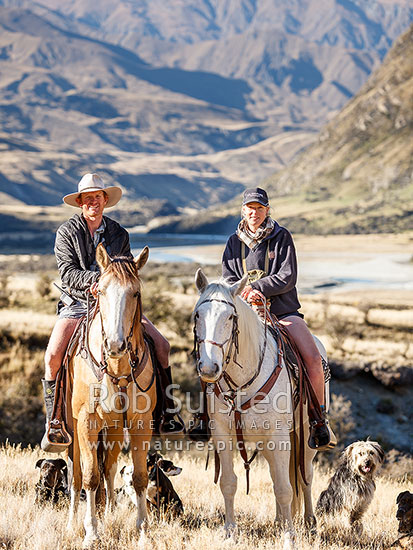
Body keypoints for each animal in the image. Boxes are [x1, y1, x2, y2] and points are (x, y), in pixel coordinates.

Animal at [67, 246, 155, 548]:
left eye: (136, 293)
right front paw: (91, 532)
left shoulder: (140, 423)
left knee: (109, 469)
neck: (116, 369)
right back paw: (74, 521)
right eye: (101, 291)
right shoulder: (87, 421)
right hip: (73, 427)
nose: (115, 345)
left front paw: (143, 531)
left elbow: (139, 477)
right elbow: (90, 477)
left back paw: (109, 514)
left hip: (115, 428)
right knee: (77, 475)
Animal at [193, 272, 326, 550]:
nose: (209, 367)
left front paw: (289, 538)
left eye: (230, 317)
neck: (242, 380)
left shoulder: (279, 437)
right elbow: (229, 483)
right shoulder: (223, 435)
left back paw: (309, 523)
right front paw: (230, 532)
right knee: (278, 475)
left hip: (306, 435)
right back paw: (279, 521)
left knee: (305, 476)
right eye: (198, 315)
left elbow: (285, 489)